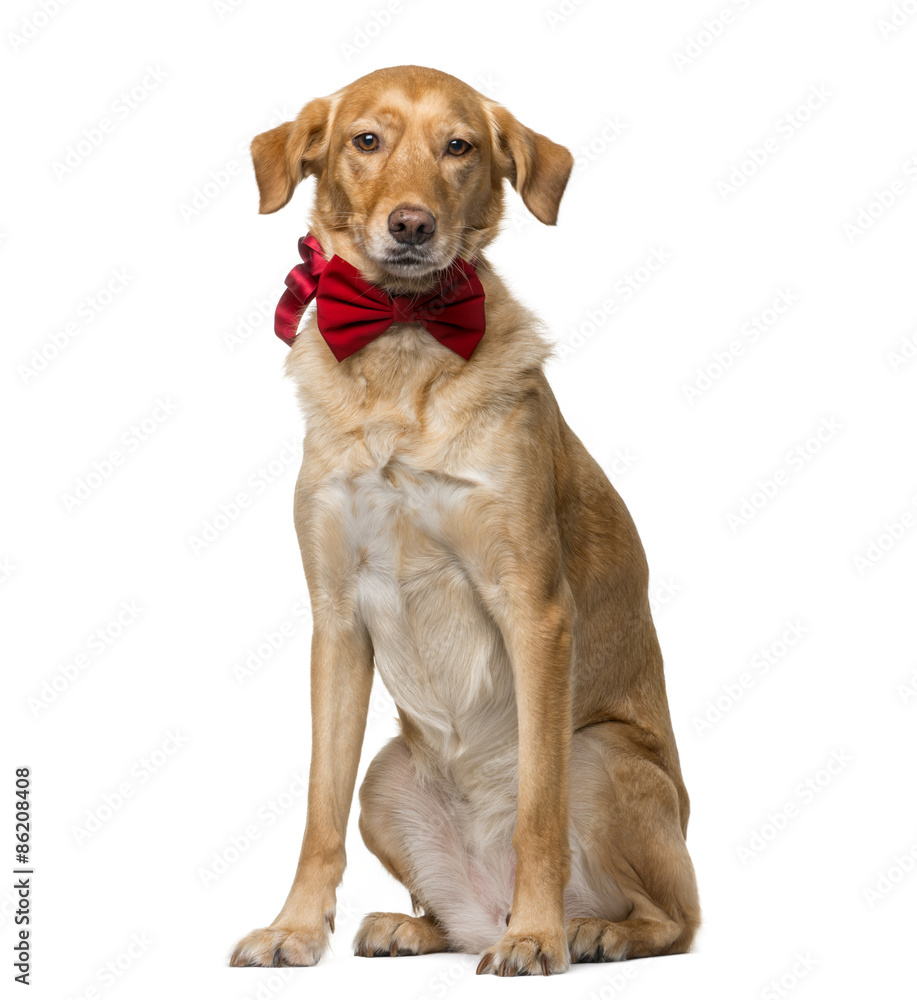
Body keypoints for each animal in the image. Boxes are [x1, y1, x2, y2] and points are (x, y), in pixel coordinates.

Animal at [233, 64, 696, 976]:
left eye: (460, 147)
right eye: (365, 140)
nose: (412, 225)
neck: (403, 340)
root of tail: (481, 903)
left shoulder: (534, 610)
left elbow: (538, 814)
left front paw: (537, 937)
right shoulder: (336, 622)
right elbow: (316, 811)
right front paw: (296, 928)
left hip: (599, 755)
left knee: (674, 919)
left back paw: (583, 930)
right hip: (386, 779)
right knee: (437, 901)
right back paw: (418, 926)